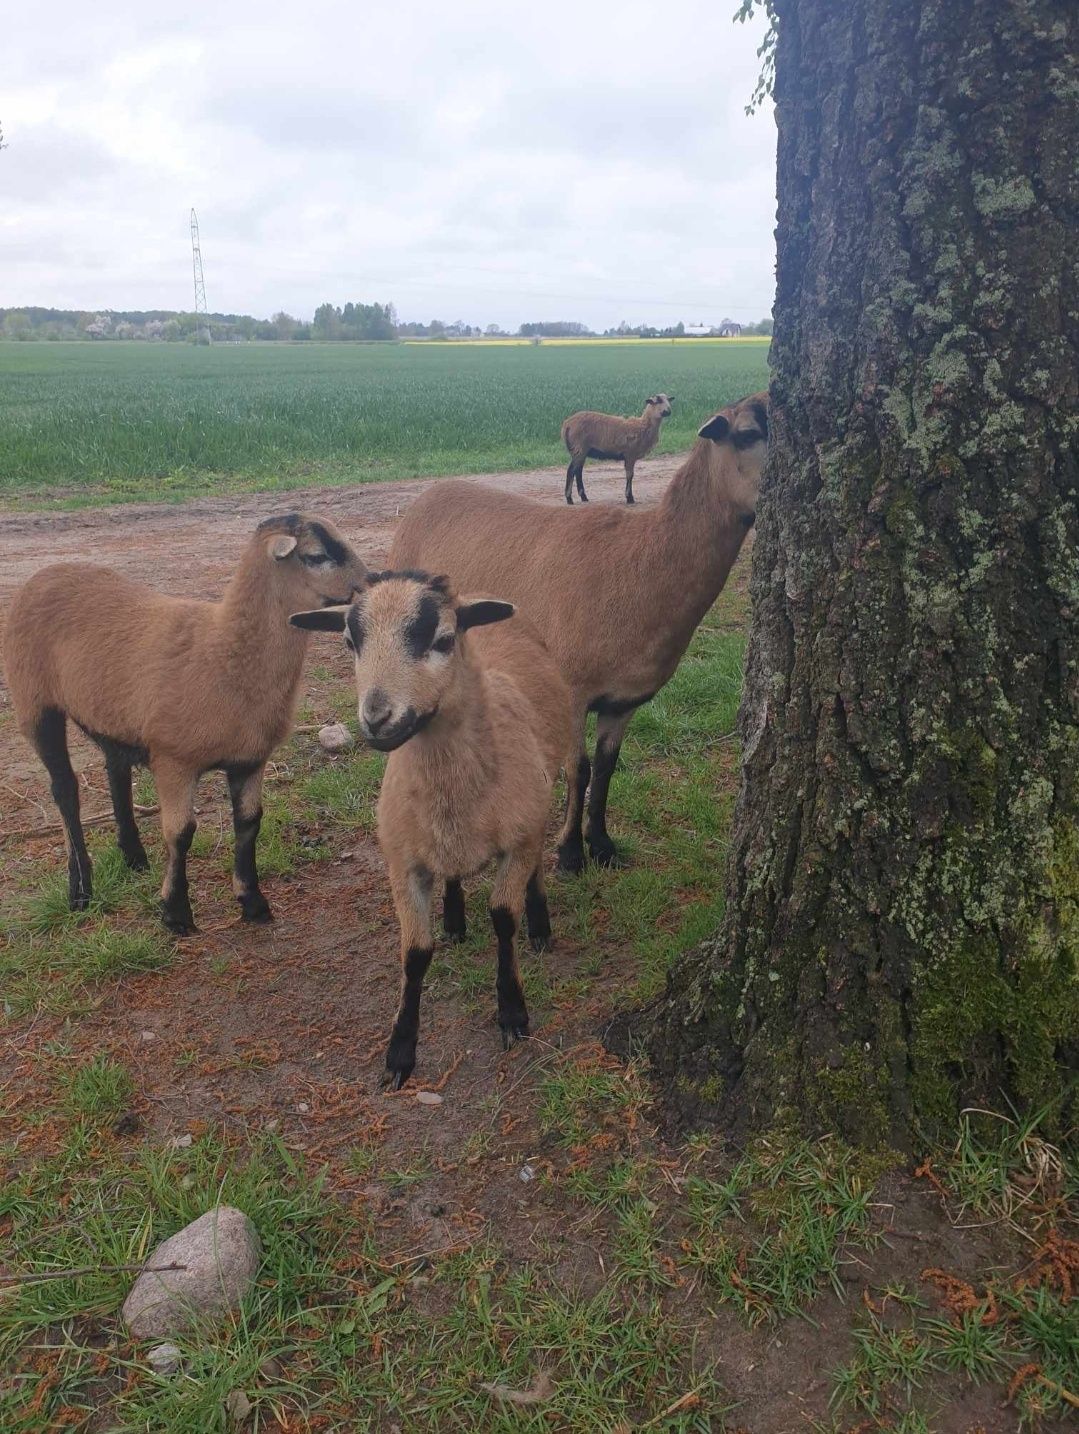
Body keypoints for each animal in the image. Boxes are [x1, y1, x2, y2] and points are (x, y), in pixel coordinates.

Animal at [3, 513, 367, 929]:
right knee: (64, 789)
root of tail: (45, 573)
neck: (226, 651)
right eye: (317, 556)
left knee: (116, 772)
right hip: (33, 701)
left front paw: (253, 901)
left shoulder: (250, 759)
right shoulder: (173, 760)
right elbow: (180, 833)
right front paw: (176, 913)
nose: (371, 582)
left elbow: (249, 822)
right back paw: (80, 889)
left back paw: (133, 857)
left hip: (111, 713)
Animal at [286, 570, 573, 1084]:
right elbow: (415, 952)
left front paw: (512, 1013)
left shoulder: (518, 839)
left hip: (538, 804)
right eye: (349, 642)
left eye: (442, 639)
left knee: (537, 861)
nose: (377, 719)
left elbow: (504, 918)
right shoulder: (403, 862)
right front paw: (400, 1052)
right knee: (454, 871)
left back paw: (539, 924)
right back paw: (456, 919)